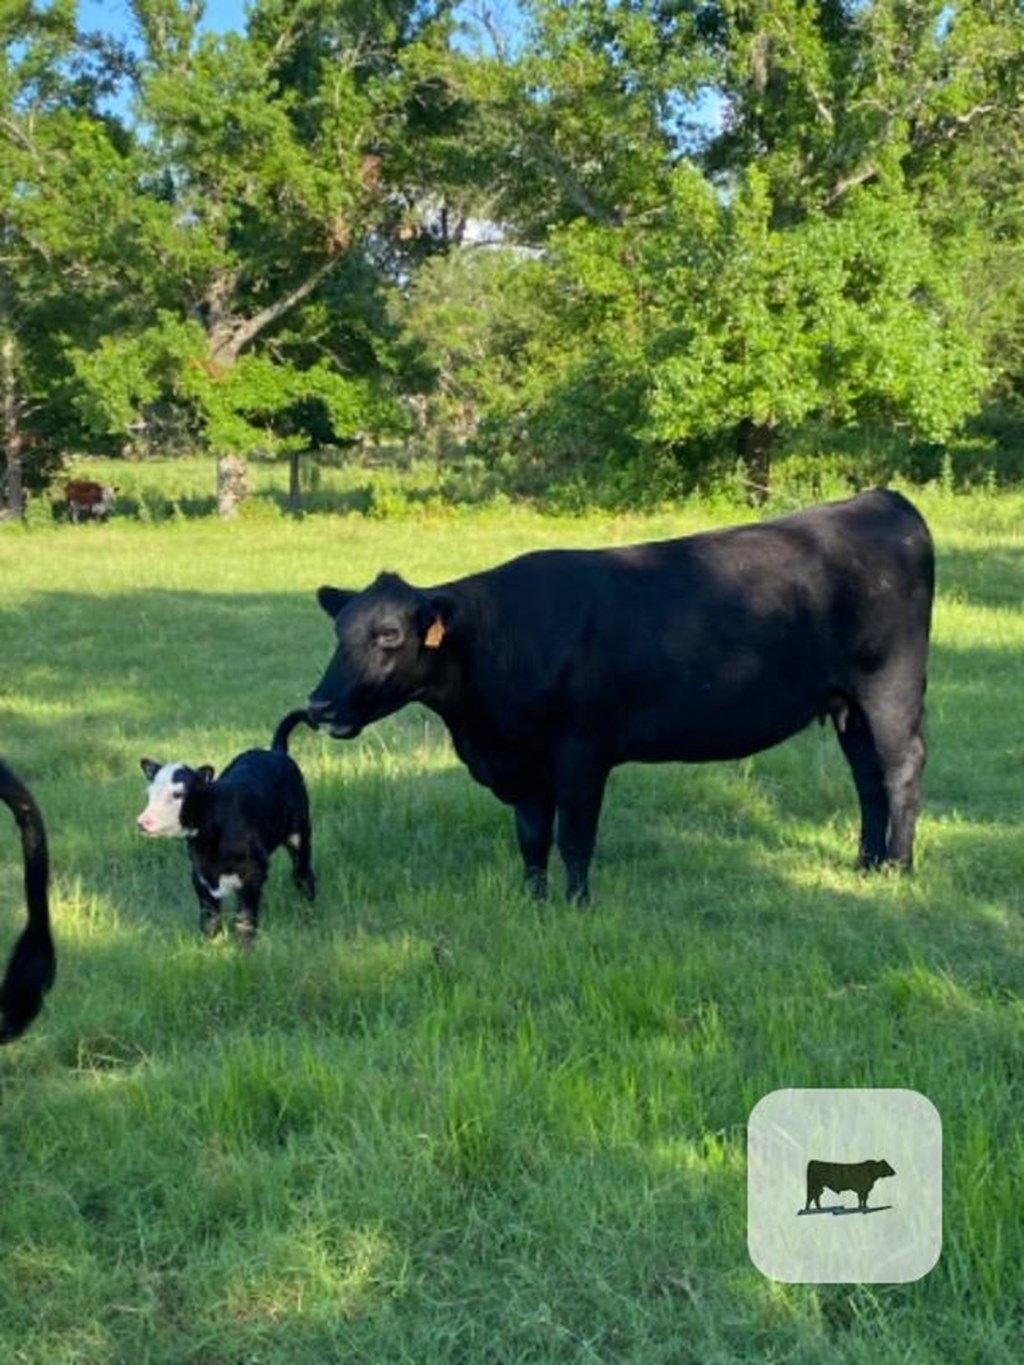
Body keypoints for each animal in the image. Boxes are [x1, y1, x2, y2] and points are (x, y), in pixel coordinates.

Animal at [136, 709, 315, 944]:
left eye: (178, 794)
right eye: (149, 794)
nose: (142, 822)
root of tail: (275, 751)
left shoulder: (253, 872)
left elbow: (245, 916)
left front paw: (246, 944)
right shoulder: (199, 874)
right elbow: (209, 916)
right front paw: (208, 943)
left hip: (300, 834)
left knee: (302, 873)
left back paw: (309, 911)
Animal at [307, 491, 939, 906]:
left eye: (389, 635)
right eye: (339, 632)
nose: (317, 707)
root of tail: (881, 499)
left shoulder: (581, 752)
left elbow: (574, 837)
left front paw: (577, 905)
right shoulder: (523, 761)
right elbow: (531, 838)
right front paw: (533, 902)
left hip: (891, 685)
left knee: (901, 767)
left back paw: (900, 868)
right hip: (846, 703)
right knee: (867, 777)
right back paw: (866, 864)